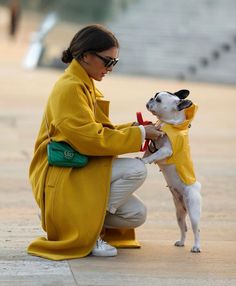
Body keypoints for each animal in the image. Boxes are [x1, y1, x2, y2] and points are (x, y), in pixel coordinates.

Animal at [143, 89, 202, 252]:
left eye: (158, 100)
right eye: (155, 95)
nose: (151, 98)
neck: (168, 123)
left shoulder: (166, 150)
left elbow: (154, 156)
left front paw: (144, 161)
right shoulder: (153, 145)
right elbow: (149, 152)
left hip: (193, 210)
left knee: (196, 229)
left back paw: (196, 246)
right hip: (179, 213)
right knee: (183, 228)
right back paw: (181, 242)